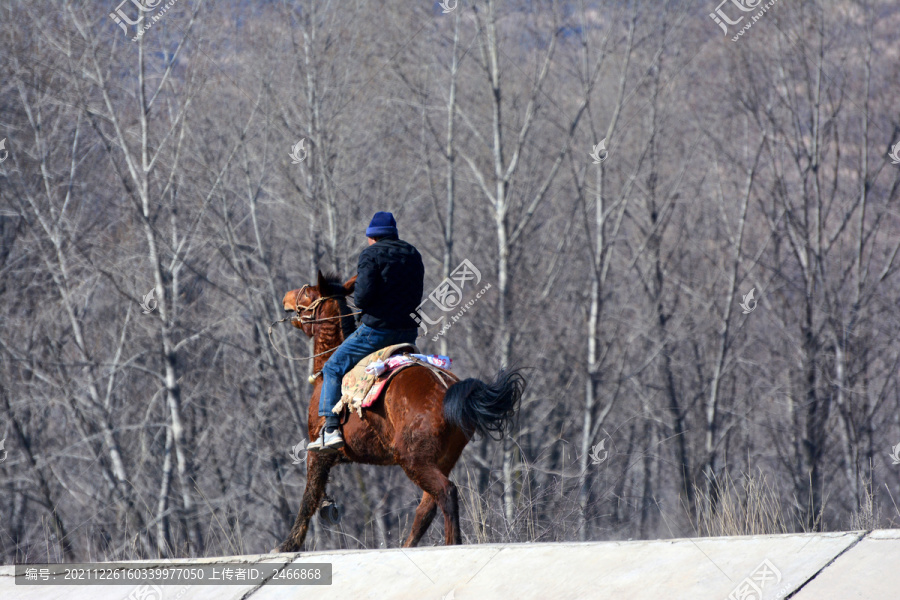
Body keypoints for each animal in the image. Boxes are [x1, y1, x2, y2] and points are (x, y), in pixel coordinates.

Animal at [278, 272, 524, 552]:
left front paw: (287, 545)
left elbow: (308, 499)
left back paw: (452, 543)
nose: (286, 297)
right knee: (426, 508)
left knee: (446, 493)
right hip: (439, 460)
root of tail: (447, 389)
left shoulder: (317, 453)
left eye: (308, 292)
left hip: (413, 459)